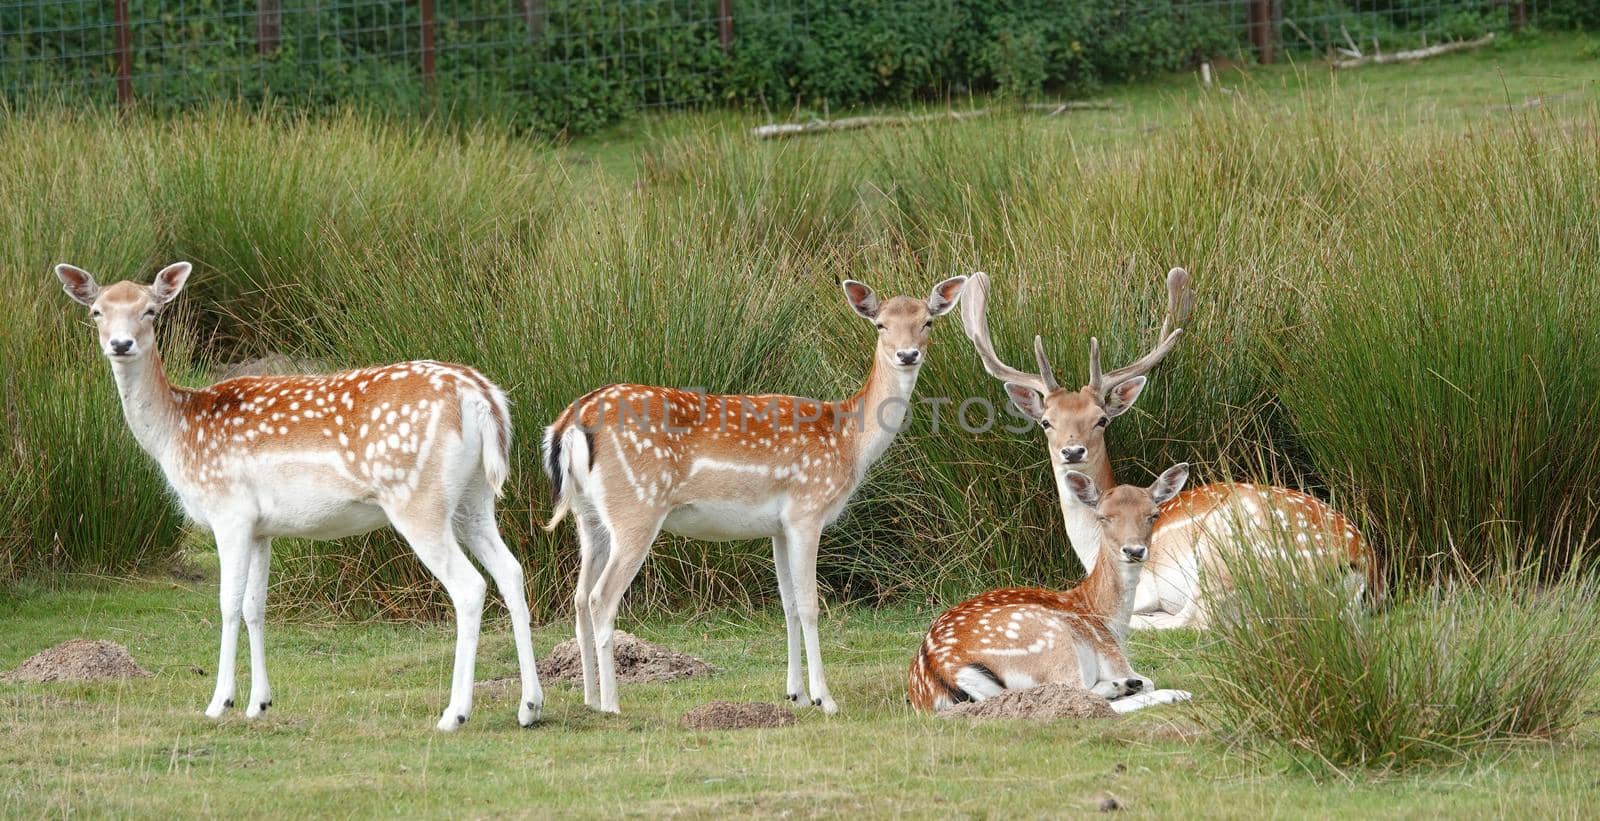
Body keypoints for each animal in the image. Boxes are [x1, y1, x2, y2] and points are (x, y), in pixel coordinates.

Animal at [56, 260, 544, 729]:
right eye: (96, 311)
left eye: (151, 311)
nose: (120, 344)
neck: (177, 431)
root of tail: (483, 399)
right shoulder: (261, 528)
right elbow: (255, 607)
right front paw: (259, 704)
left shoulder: (228, 511)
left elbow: (228, 604)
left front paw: (219, 703)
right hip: (473, 498)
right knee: (512, 571)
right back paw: (529, 707)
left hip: (417, 497)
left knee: (470, 586)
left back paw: (454, 714)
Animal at [544, 275, 966, 710]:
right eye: (881, 324)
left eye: (927, 321)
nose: (907, 354)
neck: (849, 441)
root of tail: (568, 425)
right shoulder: (807, 511)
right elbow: (810, 605)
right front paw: (825, 699)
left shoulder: (778, 527)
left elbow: (789, 605)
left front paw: (796, 694)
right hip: (636, 508)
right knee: (601, 598)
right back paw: (612, 703)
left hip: (588, 516)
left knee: (579, 597)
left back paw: (590, 699)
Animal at [908, 467, 1196, 710]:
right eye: (1103, 517)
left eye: (1153, 514)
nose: (1134, 550)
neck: (1107, 618)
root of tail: (942, 670)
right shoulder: (1111, 655)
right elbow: (1148, 680)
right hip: (1048, 636)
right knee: (1079, 694)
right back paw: (1167, 692)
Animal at [953, 268, 1382, 627]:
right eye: (1046, 421)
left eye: (1101, 419)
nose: (1072, 452)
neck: (1092, 549)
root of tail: (1362, 566)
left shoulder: (1144, 581)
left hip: (1224, 549)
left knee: (1195, 621)